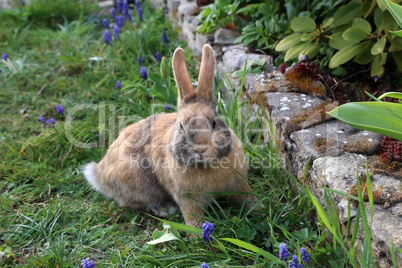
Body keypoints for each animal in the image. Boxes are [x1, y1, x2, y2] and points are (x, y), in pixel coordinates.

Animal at [83, 44, 260, 226]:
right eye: (181, 126)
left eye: (214, 123)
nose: (200, 150)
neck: (205, 166)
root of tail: (99, 173)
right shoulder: (187, 197)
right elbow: (192, 214)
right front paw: (196, 231)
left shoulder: (239, 184)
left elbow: (246, 198)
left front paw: (257, 210)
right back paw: (164, 209)